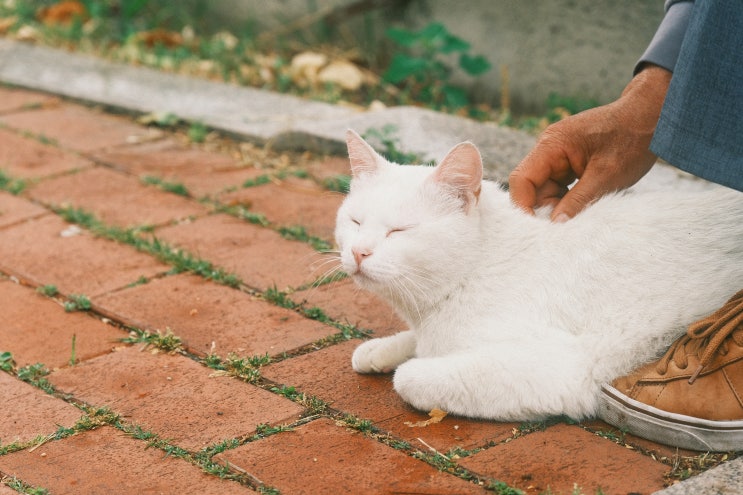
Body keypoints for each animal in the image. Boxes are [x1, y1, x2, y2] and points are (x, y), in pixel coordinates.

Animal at [338, 130, 743, 420]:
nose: (359, 252)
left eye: (399, 231)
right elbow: (414, 344)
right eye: (355, 221)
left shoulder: (561, 367)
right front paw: (380, 349)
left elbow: (410, 377)